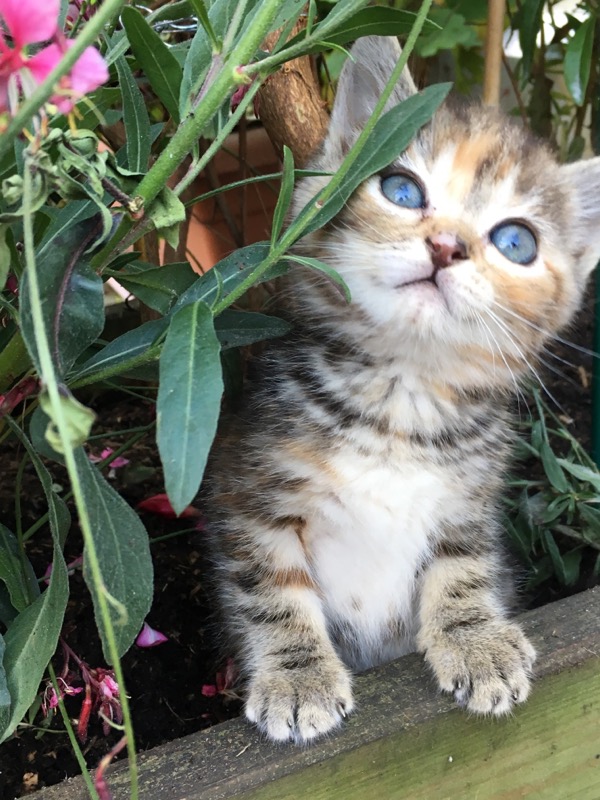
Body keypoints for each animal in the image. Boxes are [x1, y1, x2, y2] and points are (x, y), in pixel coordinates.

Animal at [205, 34, 600, 740]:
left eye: (516, 242)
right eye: (400, 188)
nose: (445, 246)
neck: (399, 399)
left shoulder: (470, 500)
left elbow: (464, 566)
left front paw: (476, 639)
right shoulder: (248, 488)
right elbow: (269, 589)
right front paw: (297, 675)